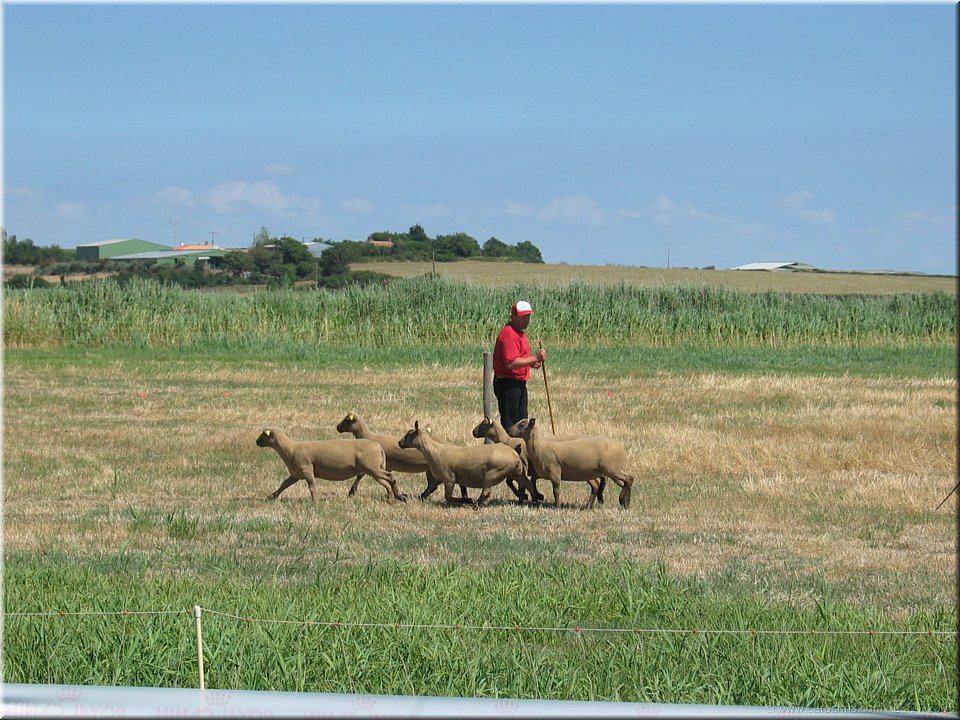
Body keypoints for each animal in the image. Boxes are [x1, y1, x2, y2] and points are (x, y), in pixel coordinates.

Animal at [256, 428, 407, 504]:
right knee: (385, 482)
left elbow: (312, 487)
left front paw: (315, 502)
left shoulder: (307, 470)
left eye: (263, 435)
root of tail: (378, 446)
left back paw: (397, 496)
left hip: (372, 467)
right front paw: (271, 497)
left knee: (390, 477)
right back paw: (391, 497)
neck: (291, 449)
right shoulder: (296, 474)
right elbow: (283, 485)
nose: (256, 441)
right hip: (373, 469)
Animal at [336, 413, 471, 503]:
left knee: (435, 484)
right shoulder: (386, 465)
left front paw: (352, 492)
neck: (368, 436)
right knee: (434, 484)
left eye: (346, 420)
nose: (337, 427)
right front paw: (398, 493)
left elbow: (360, 475)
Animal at [398, 420, 537, 508]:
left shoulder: (449, 479)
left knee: (486, 492)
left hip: (492, 474)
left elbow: (448, 497)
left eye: (409, 433)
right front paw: (419, 498)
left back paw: (475, 505)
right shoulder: (440, 479)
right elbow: (429, 490)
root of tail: (515, 454)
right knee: (529, 485)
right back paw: (534, 500)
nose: (399, 443)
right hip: (517, 473)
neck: (434, 450)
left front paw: (466, 500)